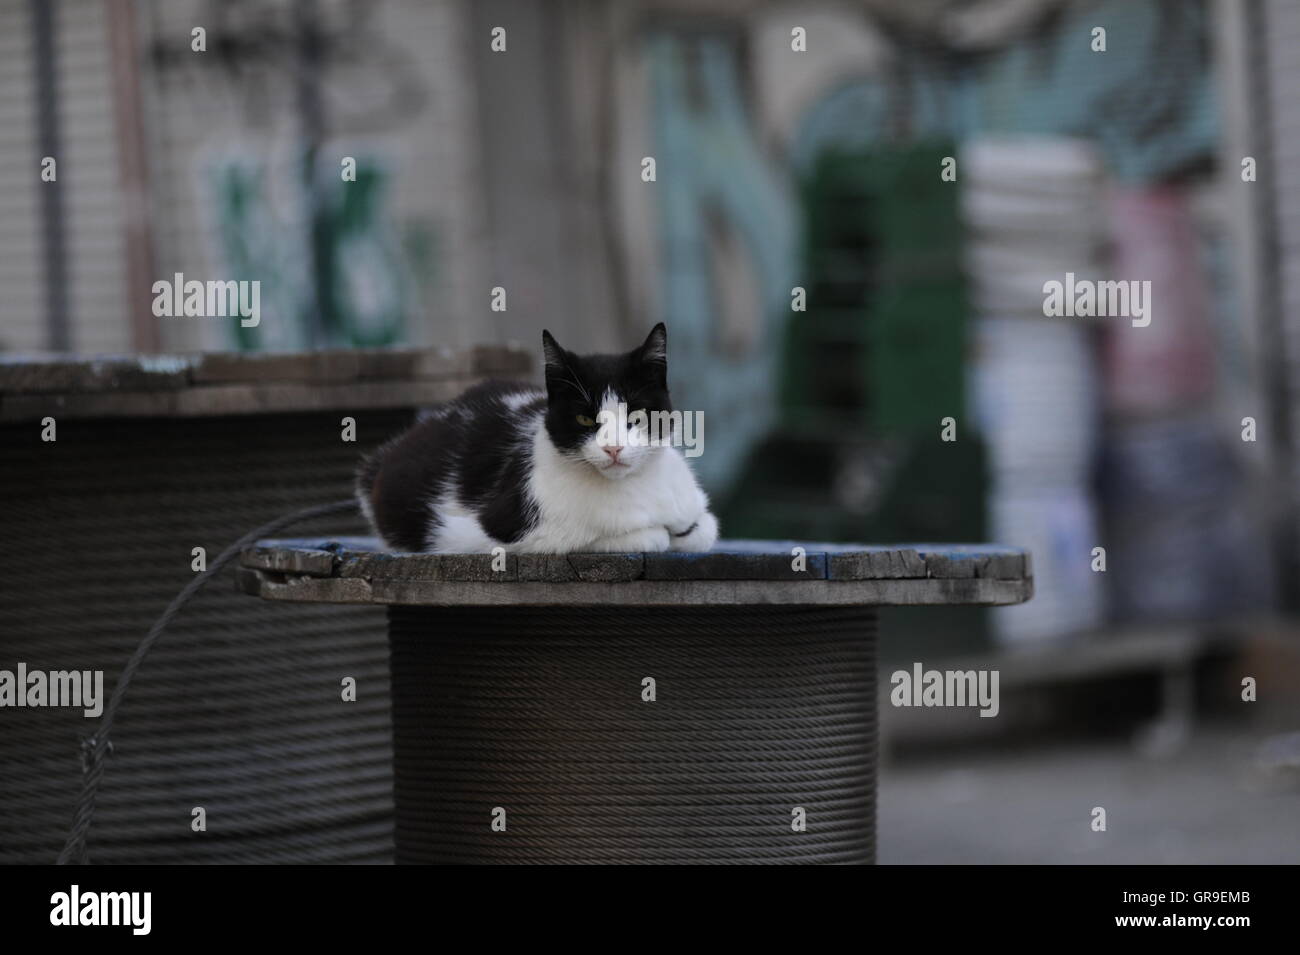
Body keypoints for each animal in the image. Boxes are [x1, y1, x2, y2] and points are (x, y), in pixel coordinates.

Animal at [358, 327, 722, 556]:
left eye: (636, 416)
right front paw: (651, 534)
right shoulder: (501, 530)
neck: (632, 488)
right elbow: (641, 537)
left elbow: (704, 529)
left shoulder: (693, 510)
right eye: (585, 419)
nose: (613, 448)